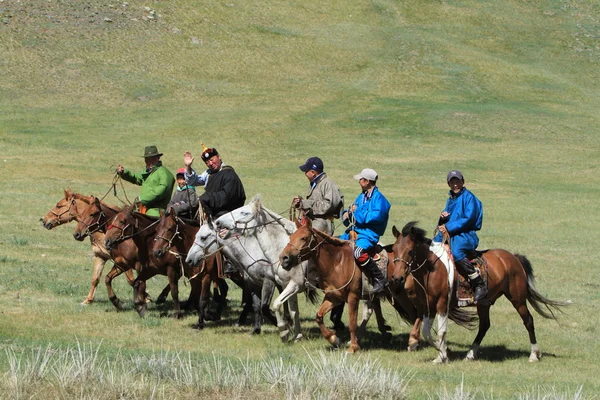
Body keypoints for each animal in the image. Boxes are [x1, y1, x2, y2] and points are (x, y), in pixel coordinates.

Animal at [278, 217, 420, 352]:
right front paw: (334, 339)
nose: (283, 258)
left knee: (416, 313)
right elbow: (318, 316)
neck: (336, 263)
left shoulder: (353, 298)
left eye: (304, 238)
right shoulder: (333, 297)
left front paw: (352, 347)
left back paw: (413, 341)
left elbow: (352, 324)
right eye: (291, 237)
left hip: (405, 295)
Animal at [390, 222, 568, 362]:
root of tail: (513, 257)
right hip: (484, 303)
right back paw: (470, 353)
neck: (432, 268)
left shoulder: (441, 304)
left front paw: (442, 356)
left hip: (517, 299)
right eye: (394, 250)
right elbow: (427, 332)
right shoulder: (428, 306)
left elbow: (441, 331)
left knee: (528, 321)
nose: (397, 278)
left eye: (410, 251)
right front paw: (441, 352)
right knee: (484, 325)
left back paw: (534, 354)